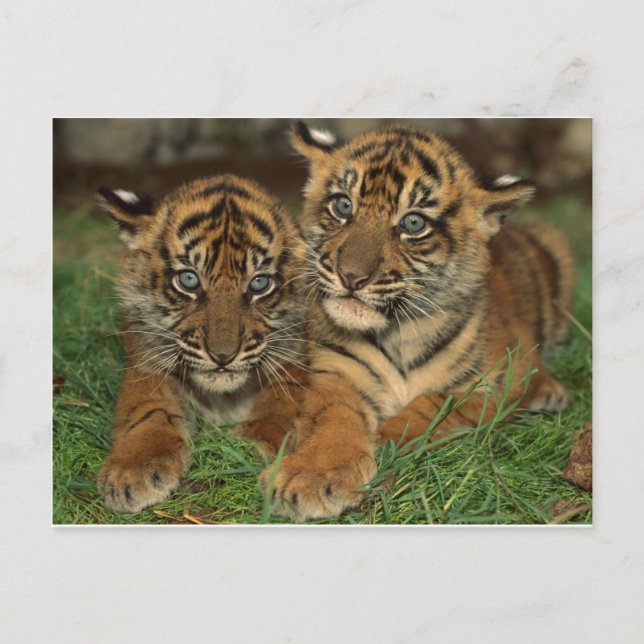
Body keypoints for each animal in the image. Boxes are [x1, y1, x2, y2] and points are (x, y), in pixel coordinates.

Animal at [96, 174, 307, 513]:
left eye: (259, 283)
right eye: (189, 280)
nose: (222, 356)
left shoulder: (297, 364)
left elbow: (279, 406)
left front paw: (246, 446)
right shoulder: (146, 365)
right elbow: (149, 411)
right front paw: (132, 470)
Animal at [259, 122, 575, 521]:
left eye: (413, 223)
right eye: (343, 205)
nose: (351, 276)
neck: (399, 332)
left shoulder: (495, 379)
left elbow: (436, 404)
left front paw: (386, 439)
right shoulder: (336, 372)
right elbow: (333, 418)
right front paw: (312, 476)